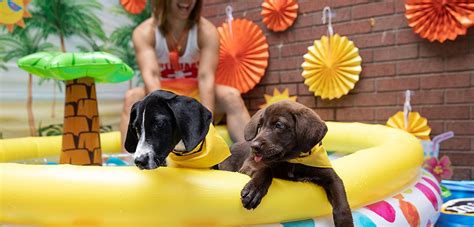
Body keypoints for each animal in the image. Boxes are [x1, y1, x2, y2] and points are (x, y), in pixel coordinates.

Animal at [218, 100, 352, 227]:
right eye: (259, 125)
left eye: (279, 125)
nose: (254, 147)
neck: (294, 161)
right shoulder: (251, 163)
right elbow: (265, 170)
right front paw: (254, 190)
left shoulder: (332, 178)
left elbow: (342, 203)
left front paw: (345, 223)